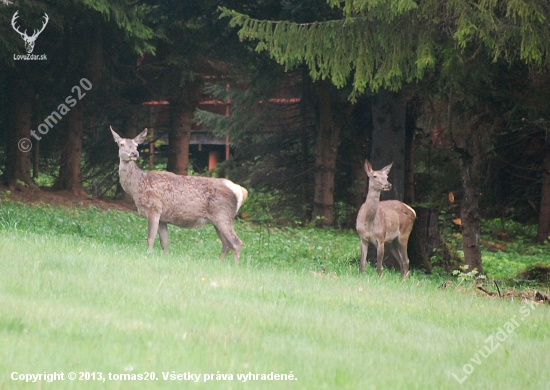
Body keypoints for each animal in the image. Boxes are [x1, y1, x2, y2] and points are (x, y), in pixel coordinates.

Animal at [111, 128, 249, 266]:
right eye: (121, 144)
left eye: (136, 145)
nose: (135, 153)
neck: (137, 186)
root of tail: (241, 191)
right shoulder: (163, 218)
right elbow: (164, 243)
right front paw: (165, 258)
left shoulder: (154, 208)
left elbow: (150, 238)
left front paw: (147, 255)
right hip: (218, 219)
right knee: (226, 244)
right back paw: (218, 263)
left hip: (223, 215)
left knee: (236, 242)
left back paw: (234, 266)